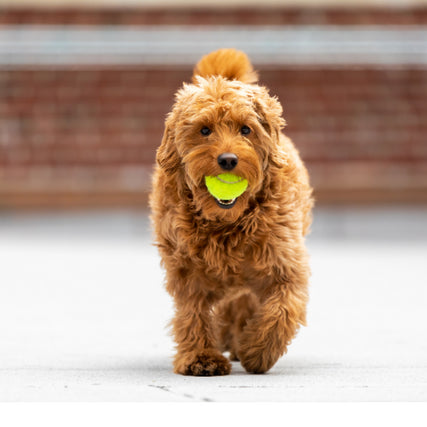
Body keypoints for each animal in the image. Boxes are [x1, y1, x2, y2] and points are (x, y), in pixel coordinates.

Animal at [150, 48, 314, 374]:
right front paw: (200, 357)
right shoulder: (186, 270)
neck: (226, 222)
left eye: (246, 129)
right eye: (204, 130)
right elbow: (192, 313)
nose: (227, 160)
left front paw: (257, 351)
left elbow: (283, 309)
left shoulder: (285, 262)